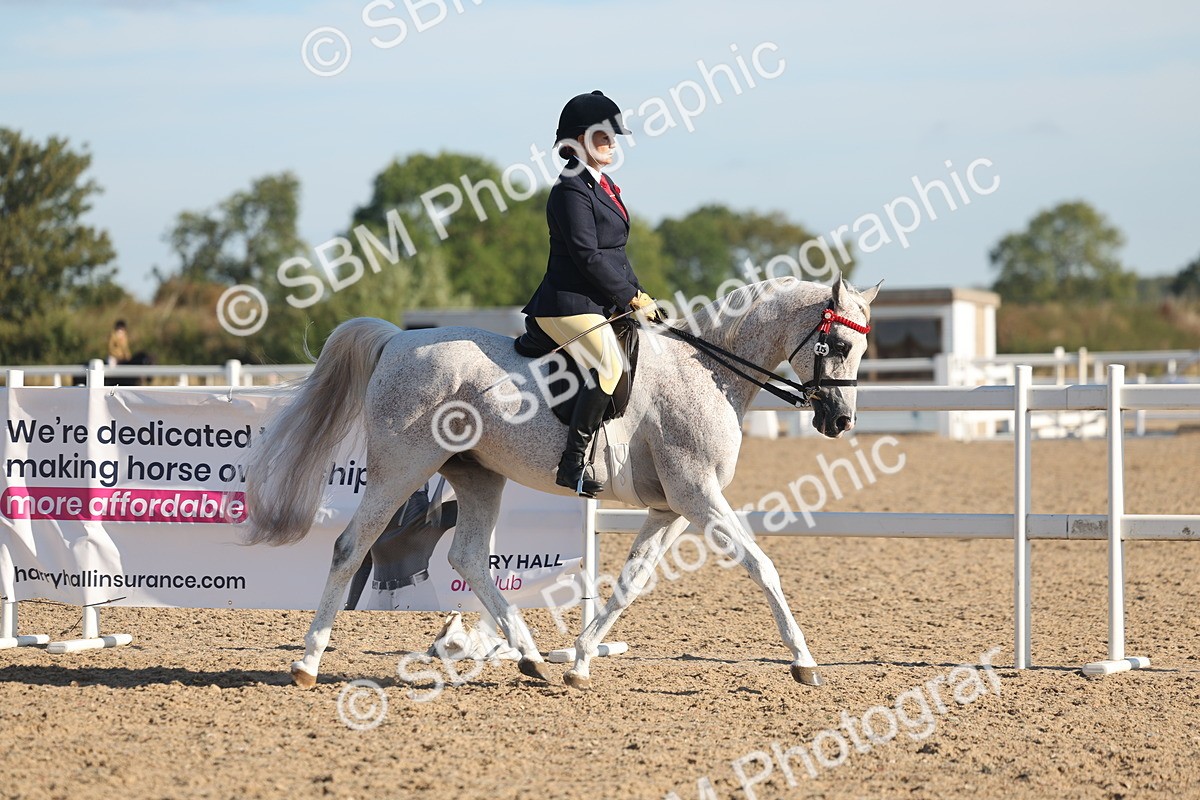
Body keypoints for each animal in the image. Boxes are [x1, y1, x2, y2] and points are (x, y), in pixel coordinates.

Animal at [245, 276, 880, 690]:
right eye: (840, 345)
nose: (840, 421)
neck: (708, 371)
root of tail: (396, 339)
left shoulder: (672, 508)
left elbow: (629, 584)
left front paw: (578, 662)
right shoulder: (699, 496)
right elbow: (762, 566)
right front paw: (804, 662)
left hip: (478, 477)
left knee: (468, 557)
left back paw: (530, 658)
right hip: (402, 467)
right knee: (351, 547)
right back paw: (307, 664)